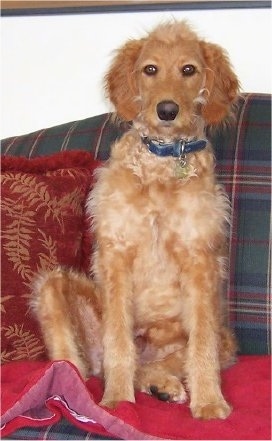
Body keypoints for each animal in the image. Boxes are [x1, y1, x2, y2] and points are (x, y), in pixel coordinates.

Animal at [32, 21, 240, 420]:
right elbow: (118, 340)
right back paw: (71, 386)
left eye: (188, 70)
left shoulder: (200, 259)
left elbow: (201, 346)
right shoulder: (116, 254)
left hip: (224, 339)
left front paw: (209, 402)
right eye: (150, 69)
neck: (163, 166)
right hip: (51, 288)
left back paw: (164, 385)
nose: (167, 110)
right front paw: (116, 400)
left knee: (169, 361)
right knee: (79, 362)